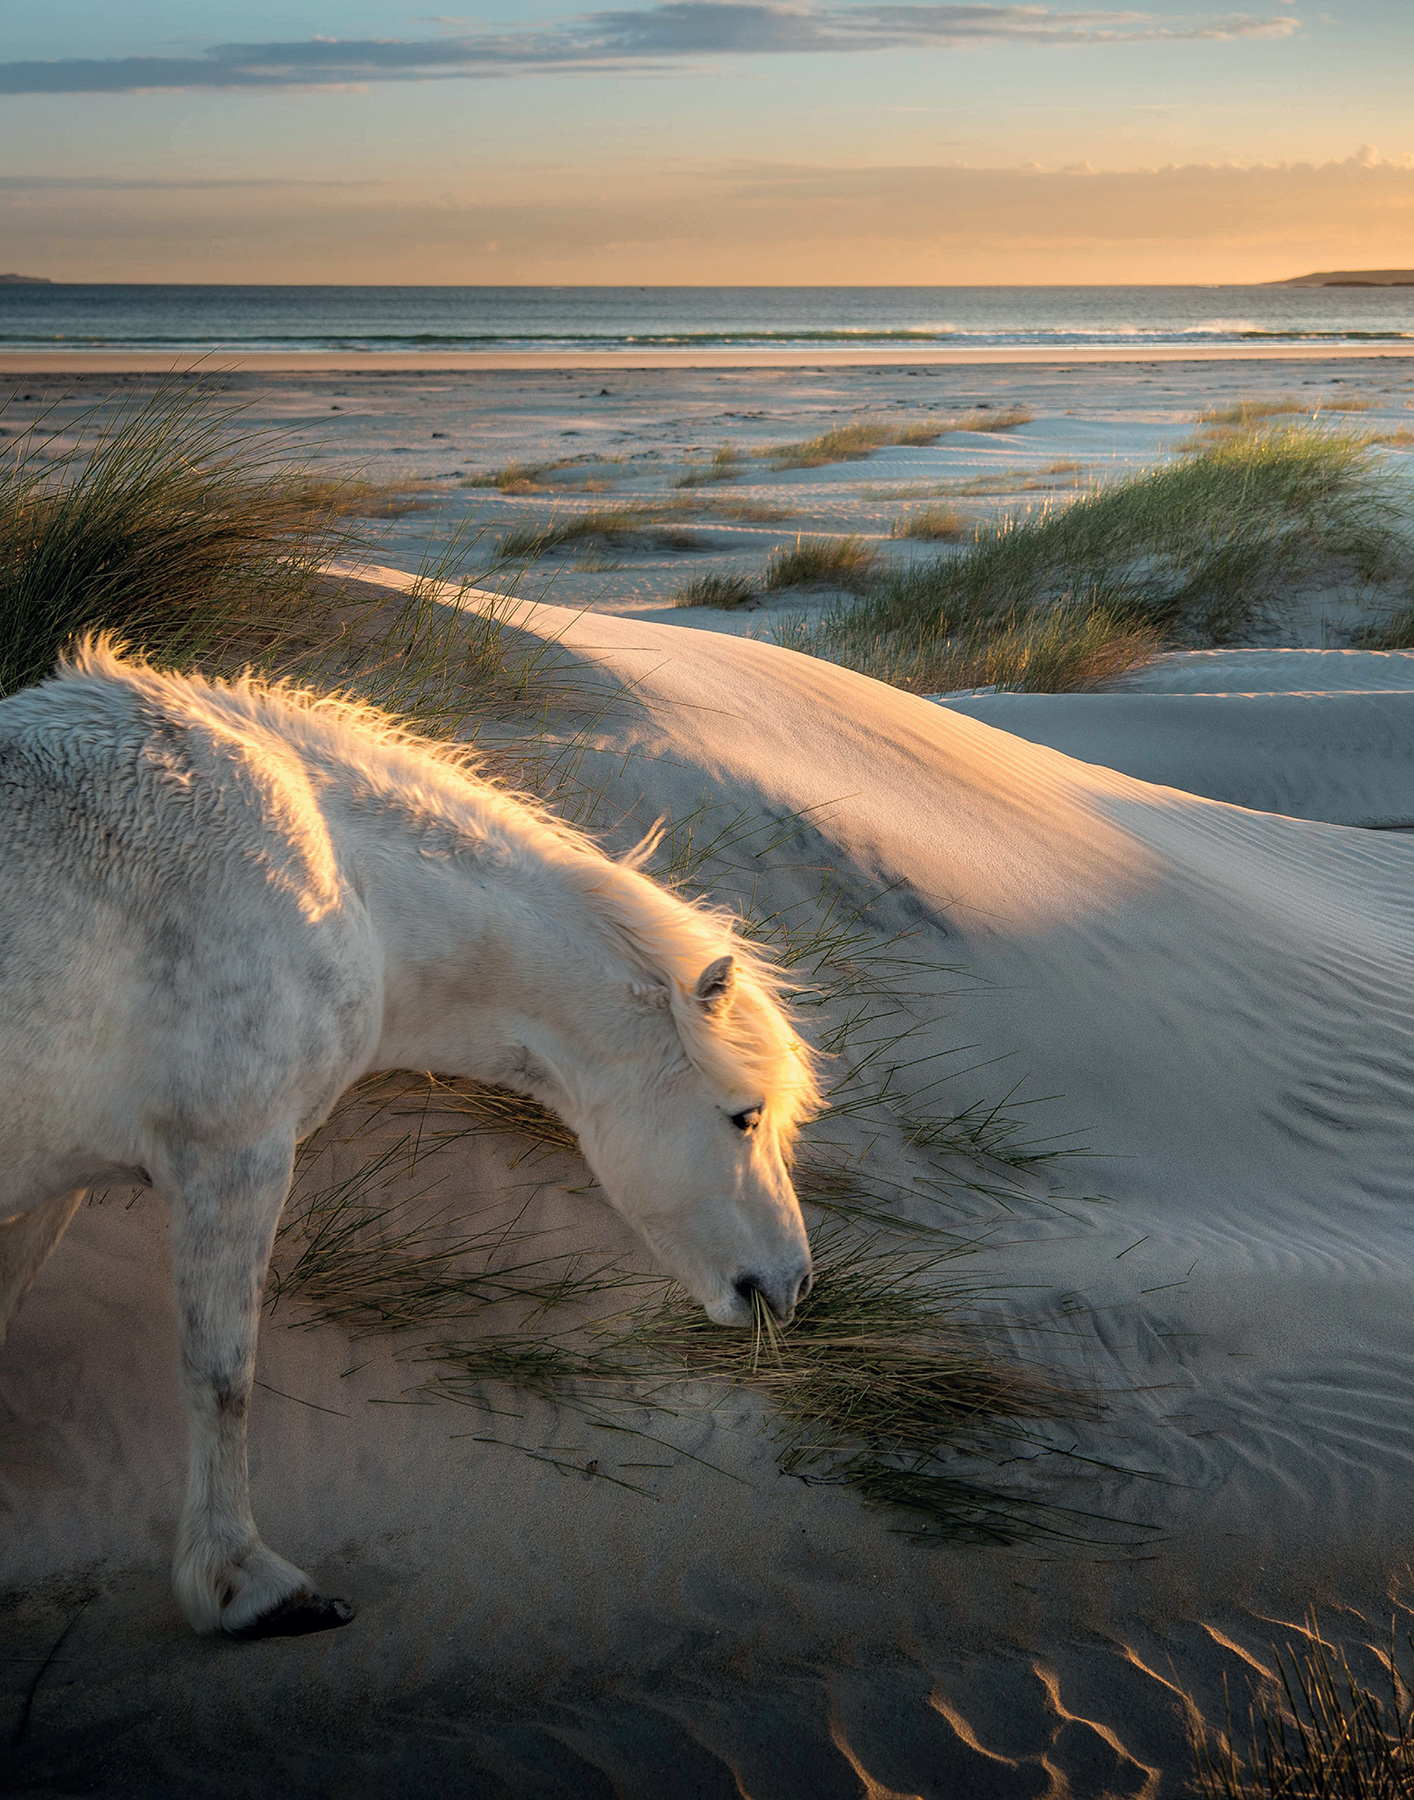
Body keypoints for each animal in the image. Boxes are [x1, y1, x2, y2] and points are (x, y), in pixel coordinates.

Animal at [0, 640, 816, 1641]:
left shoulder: (56, 1181)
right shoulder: (235, 1157)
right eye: (745, 1116)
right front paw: (242, 1584)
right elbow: (221, 1373)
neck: (348, 893)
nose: (789, 1285)